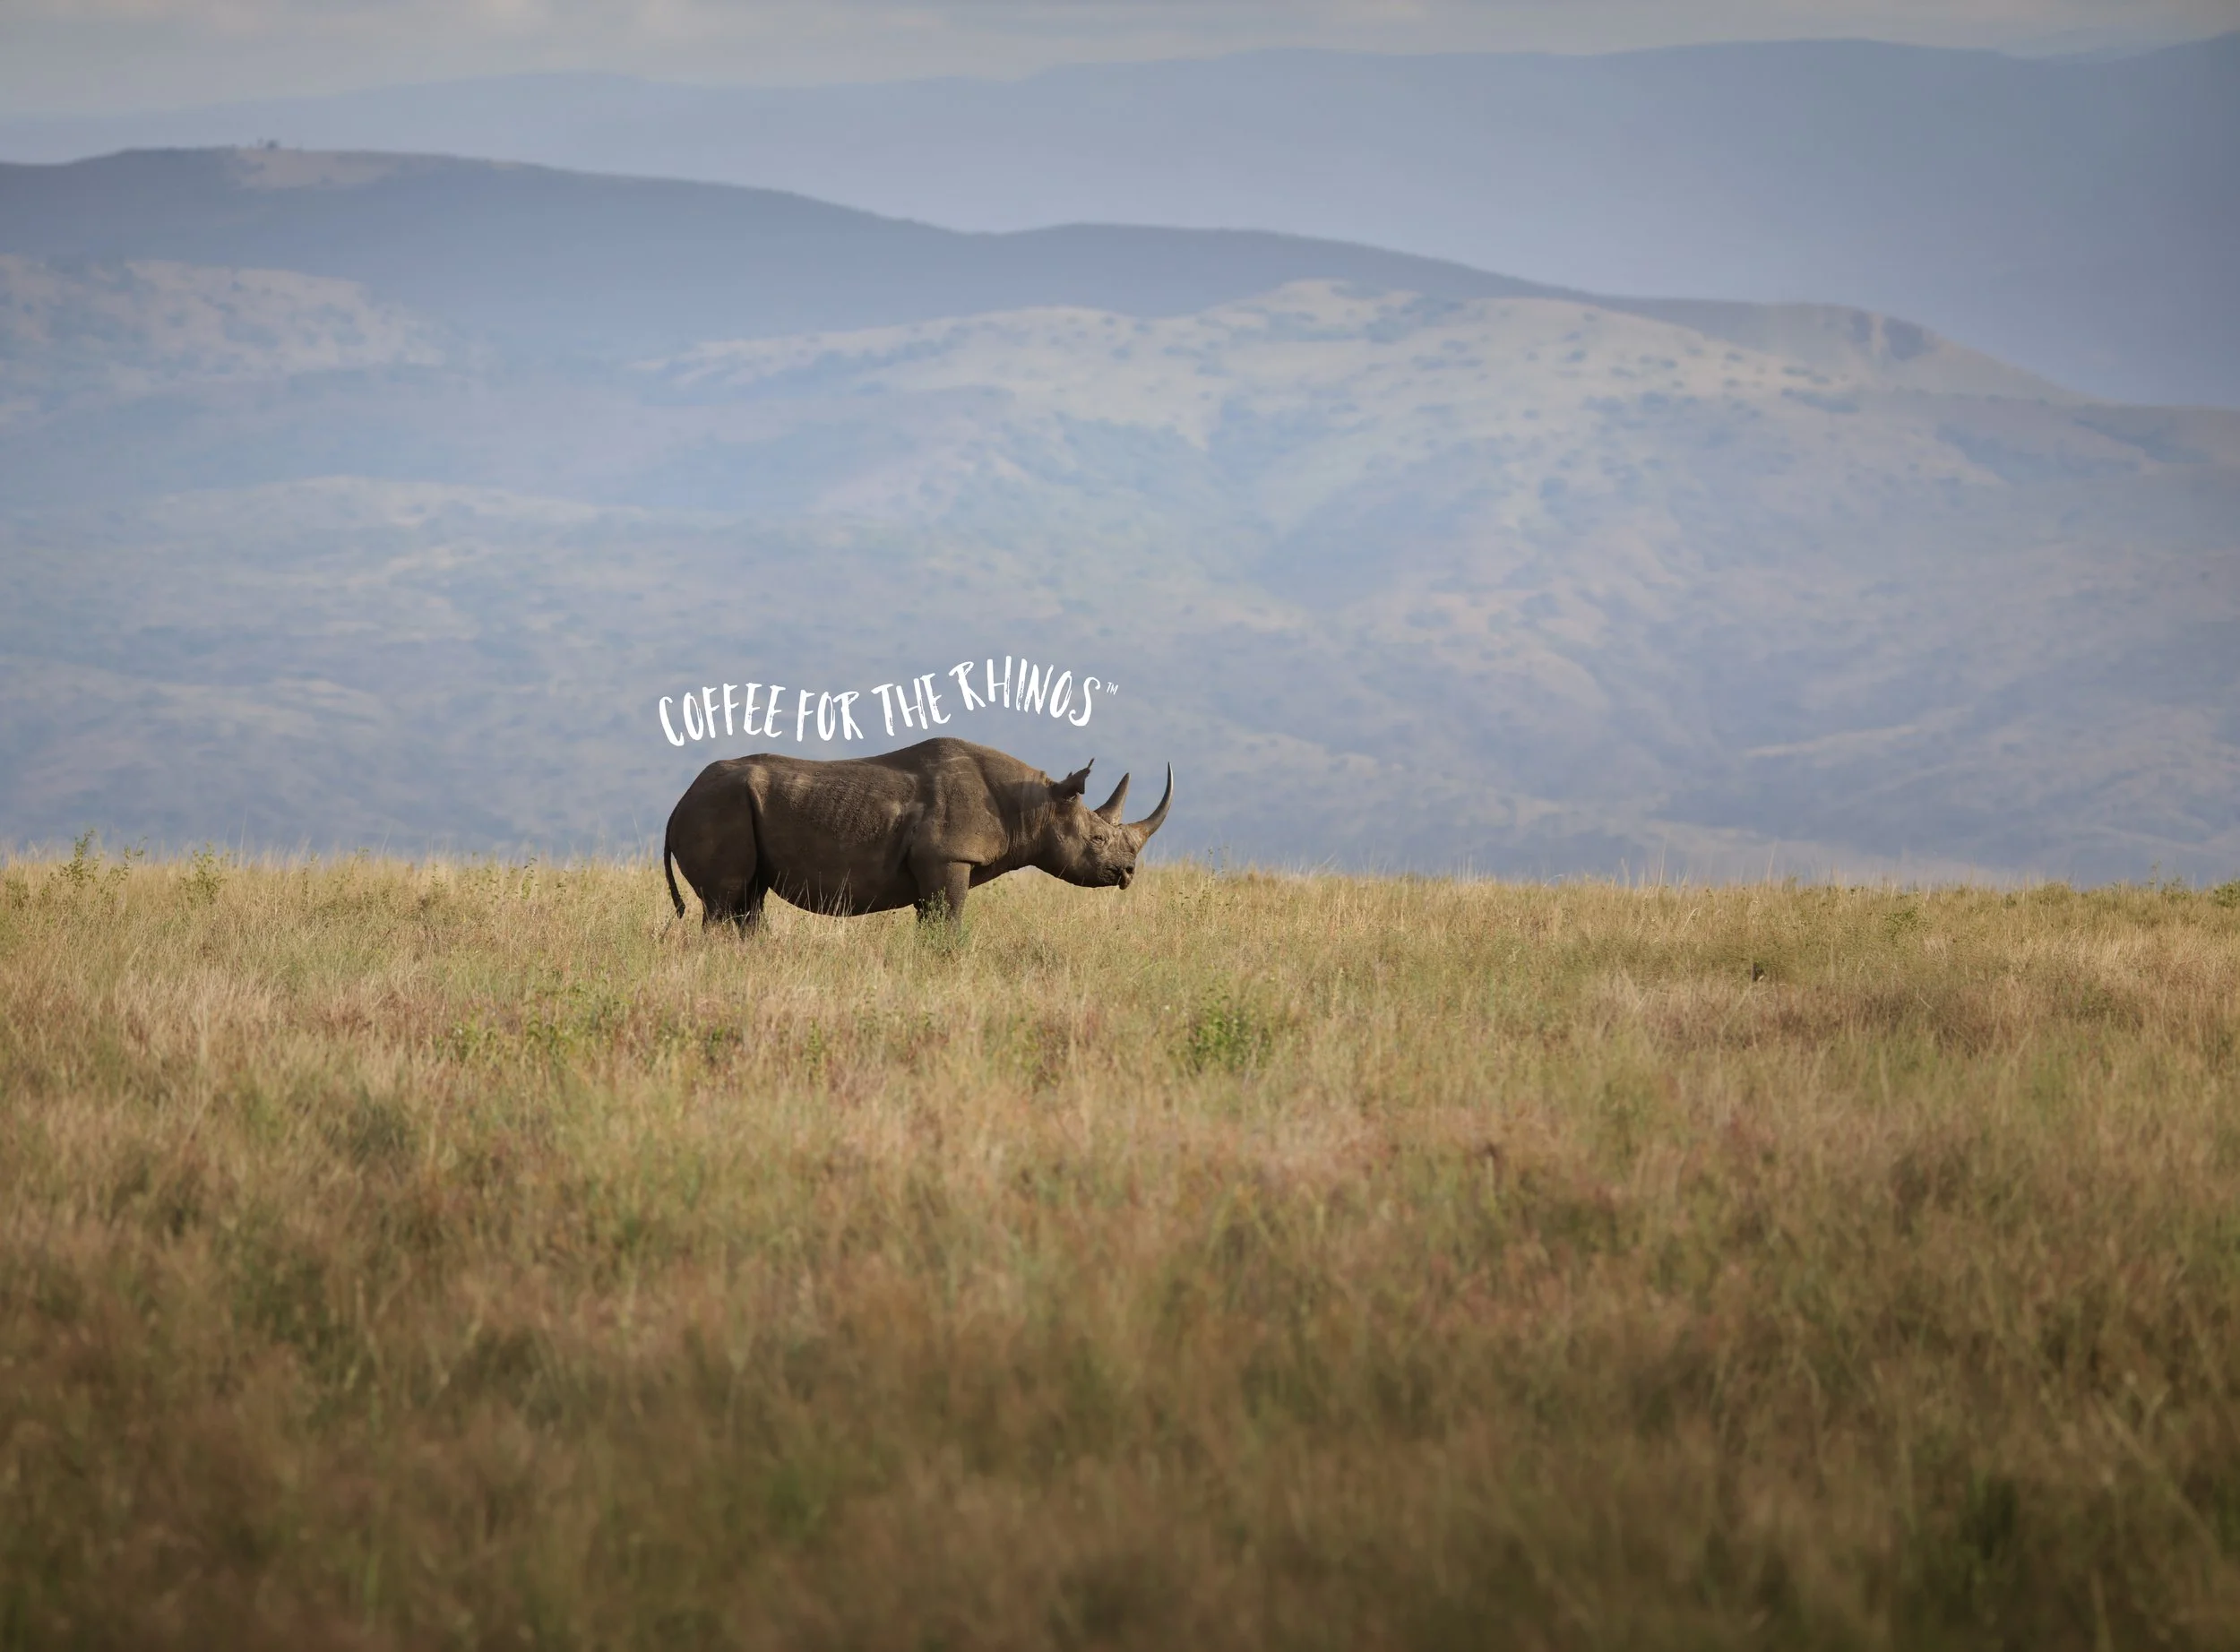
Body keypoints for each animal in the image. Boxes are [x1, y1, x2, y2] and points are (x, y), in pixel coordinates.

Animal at [663, 736, 1173, 929]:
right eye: (1098, 840)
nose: (1128, 872)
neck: (1034, 805)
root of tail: (675, 805)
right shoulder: (948, 856)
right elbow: (948, 921)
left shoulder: (936, 863)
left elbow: (932, 921)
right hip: (715, 808)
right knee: (726, 900)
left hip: (725, 807)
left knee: (747, 901)